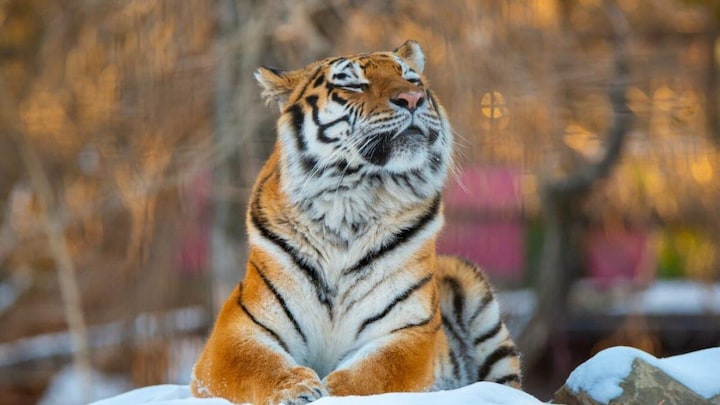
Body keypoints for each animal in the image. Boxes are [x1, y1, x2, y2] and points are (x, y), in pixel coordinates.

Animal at [191, 40, 521, 405]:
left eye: (412, 79)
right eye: (353, 84)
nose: (412, 98)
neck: (350, 202)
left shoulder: (409, 330)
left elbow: (370, 375)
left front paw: (332, 394)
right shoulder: (237, 328)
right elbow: (258, 364)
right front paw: (297, 389)